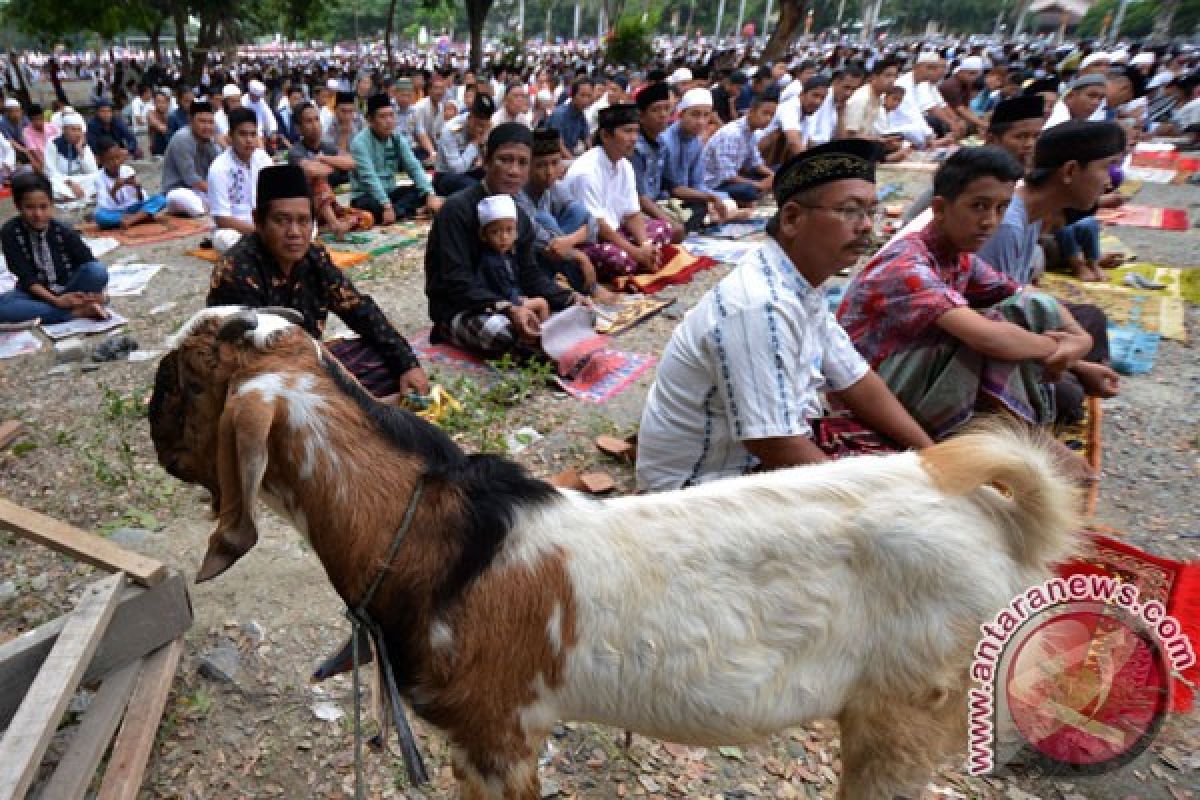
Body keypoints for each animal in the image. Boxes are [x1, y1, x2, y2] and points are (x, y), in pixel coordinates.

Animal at [152, 309, 1089, 800]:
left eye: (186, 382)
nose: (155, 432)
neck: (431, 539)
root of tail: (991, 512)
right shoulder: (468, 743)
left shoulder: (501, 733)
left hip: (905, 709)